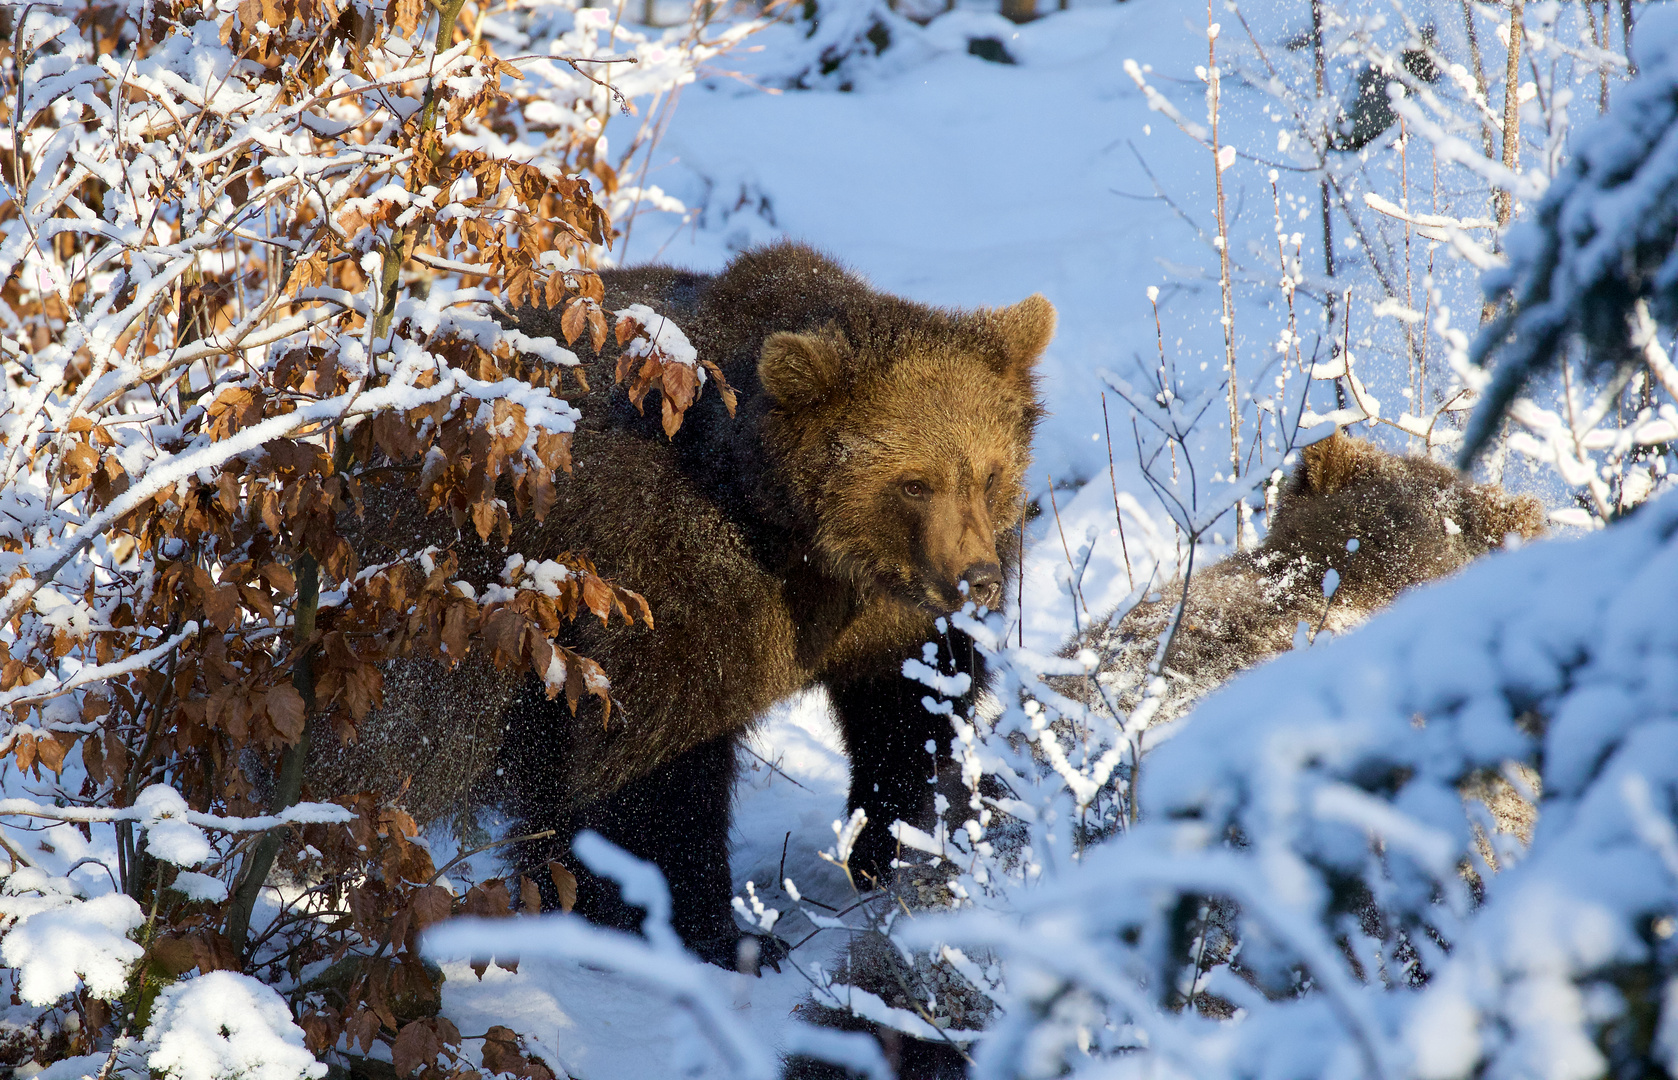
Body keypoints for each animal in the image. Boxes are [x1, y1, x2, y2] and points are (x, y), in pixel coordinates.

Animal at [332, 243, 1047, 959]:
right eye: (914, 484)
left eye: (988, 473)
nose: (978, 578)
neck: (799, 538)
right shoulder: (668, 579)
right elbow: (658, 771)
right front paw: (712, 932)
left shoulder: (885, 614)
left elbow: (912, 707)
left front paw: (888, 845)